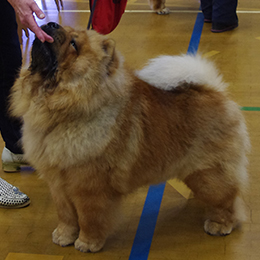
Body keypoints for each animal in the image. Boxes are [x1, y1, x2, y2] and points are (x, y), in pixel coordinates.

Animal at [10, 21, 250, 252]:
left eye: (74, 45)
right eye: (62, 28)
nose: (50, 23)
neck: (58, 109)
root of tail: (214, 91)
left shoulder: (89, 186)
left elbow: (89, 218)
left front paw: (87, 243)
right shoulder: (57, 183)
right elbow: (66, 214)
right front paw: (63, 236)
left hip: (209, 175)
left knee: (229, 198)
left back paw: (219, 224)